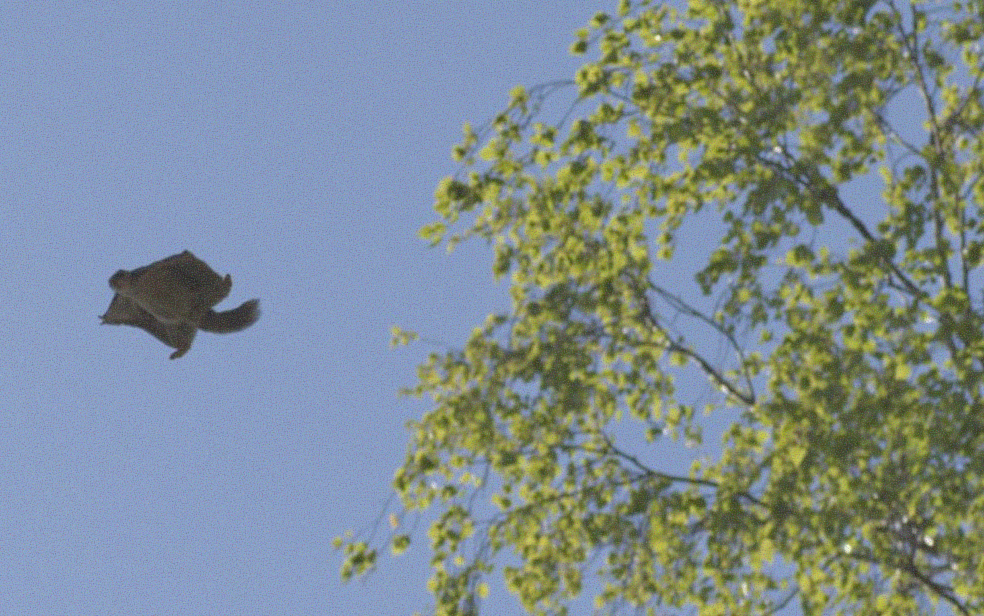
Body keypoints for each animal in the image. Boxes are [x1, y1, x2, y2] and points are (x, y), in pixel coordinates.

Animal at [101, 251, 260, 359]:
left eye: (120, 274)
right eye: (113, 279)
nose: (111, 281)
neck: (134, 288)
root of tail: (202, 313)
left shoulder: (150, 271)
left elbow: (177, 259)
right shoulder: (129, 299)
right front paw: (107, 317)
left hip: (200, 290)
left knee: (214, 288)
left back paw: (222, 288)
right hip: (178, 324)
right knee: (181, 335)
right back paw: (181, 349)